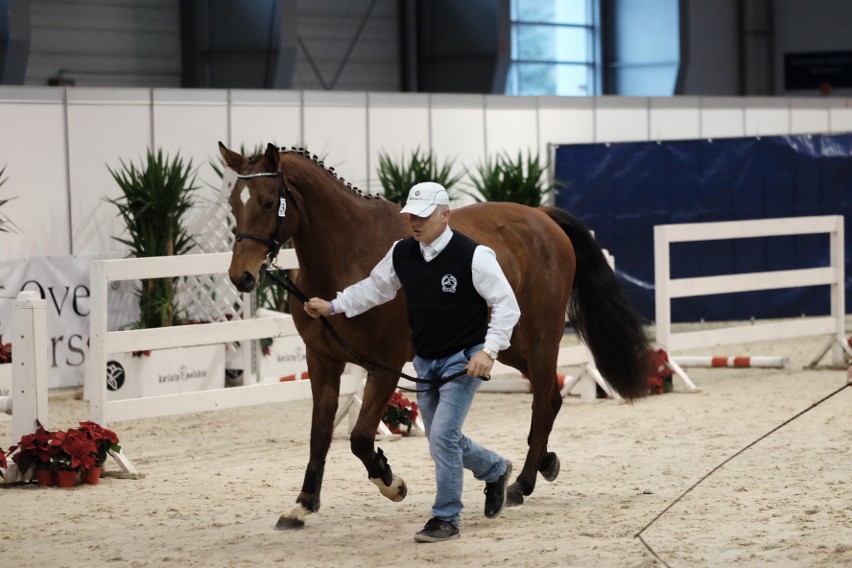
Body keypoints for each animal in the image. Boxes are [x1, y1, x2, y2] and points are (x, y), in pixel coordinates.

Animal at [220, 142, 652, 528]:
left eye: (266, 202)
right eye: (233, 204)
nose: (241, 277)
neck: (348, 256)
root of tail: (542, 217)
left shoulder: (384, 365)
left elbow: (360, 437)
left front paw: (391, 482)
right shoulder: (322, 360)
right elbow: (320, 433)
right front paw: (303, 505)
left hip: (540, 338)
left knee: (544, 401)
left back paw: (521, 484)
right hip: (508, 346)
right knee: (552, 397)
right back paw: (543, 463)